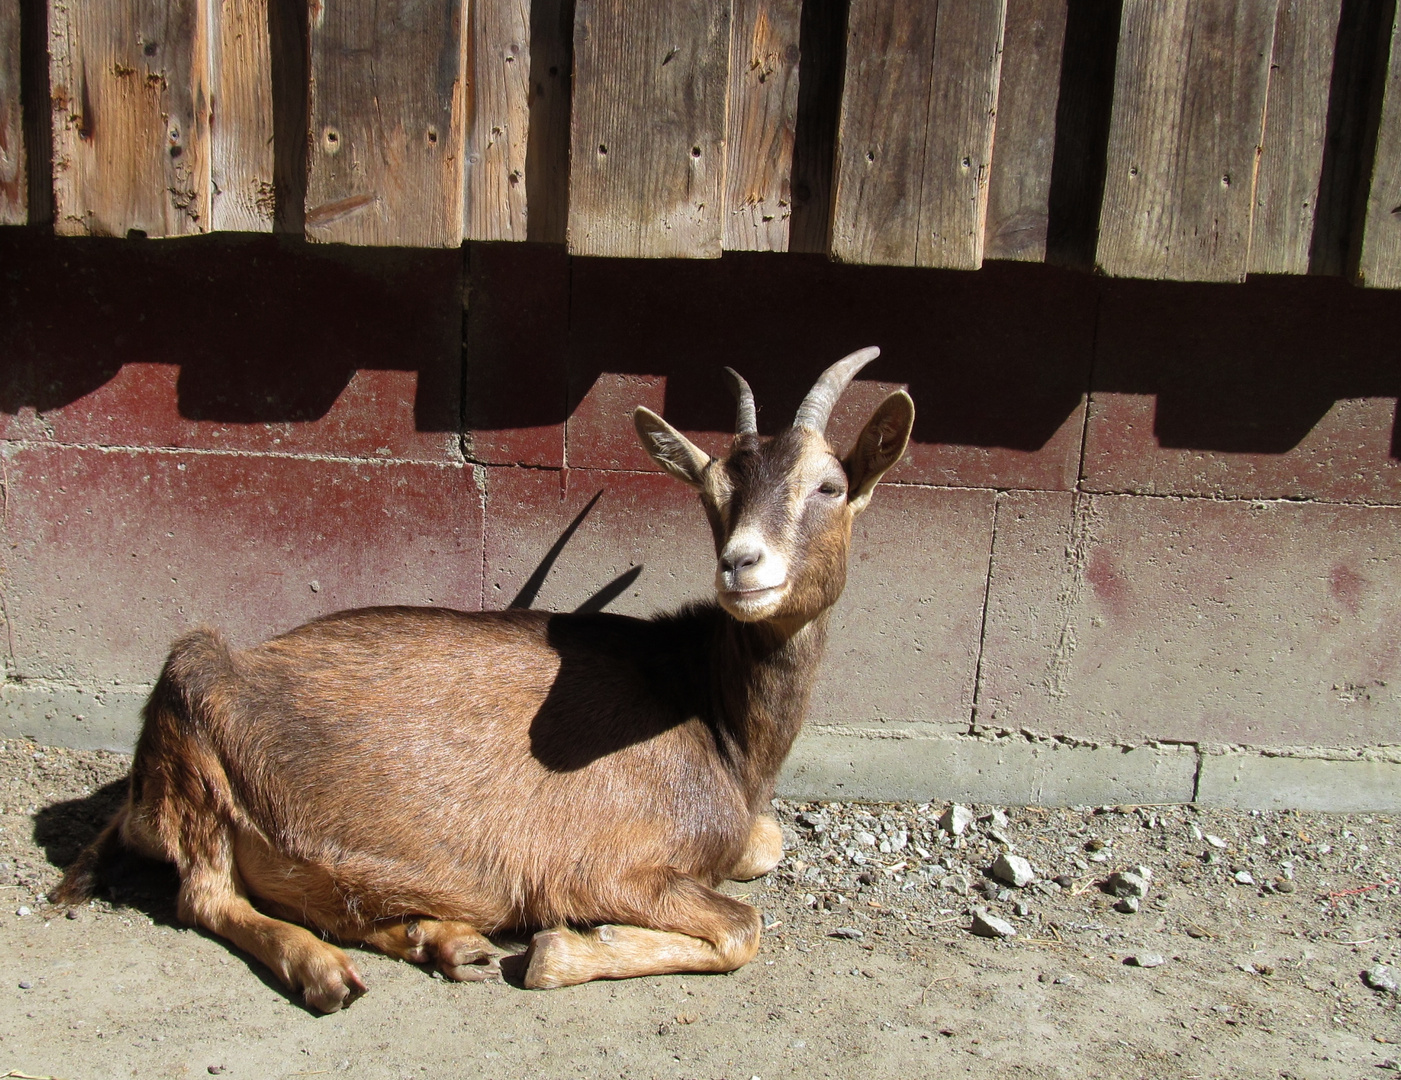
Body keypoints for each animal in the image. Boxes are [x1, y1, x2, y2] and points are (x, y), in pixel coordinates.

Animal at [49, 348, 913, 1014]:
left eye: (830, 487)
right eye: (712, 496)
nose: (741, 564)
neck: (711, 712)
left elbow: (763, 847)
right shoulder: (606, 864)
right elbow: (741, 928)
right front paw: (565, 949)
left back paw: (441, 940)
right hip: (193, 726)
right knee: (204, 895)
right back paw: (326, 972)